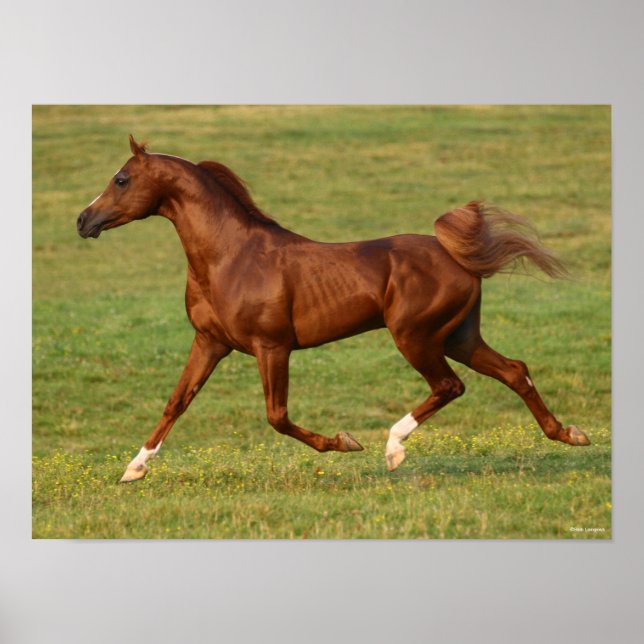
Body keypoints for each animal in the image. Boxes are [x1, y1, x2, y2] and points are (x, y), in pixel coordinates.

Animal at [77, 135, 590, 483]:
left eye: (121, 179)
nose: (83, 220)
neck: (230, 257)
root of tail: (457, 256)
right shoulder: (210, 342)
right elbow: (176, 402)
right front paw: (133, 469)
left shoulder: (272, 347)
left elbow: (277, 416)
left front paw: (345, 442)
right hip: (459, 336)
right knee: (514, 370)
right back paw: (570, 434)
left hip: (415, 336)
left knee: (450, 385)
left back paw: (392, 449)